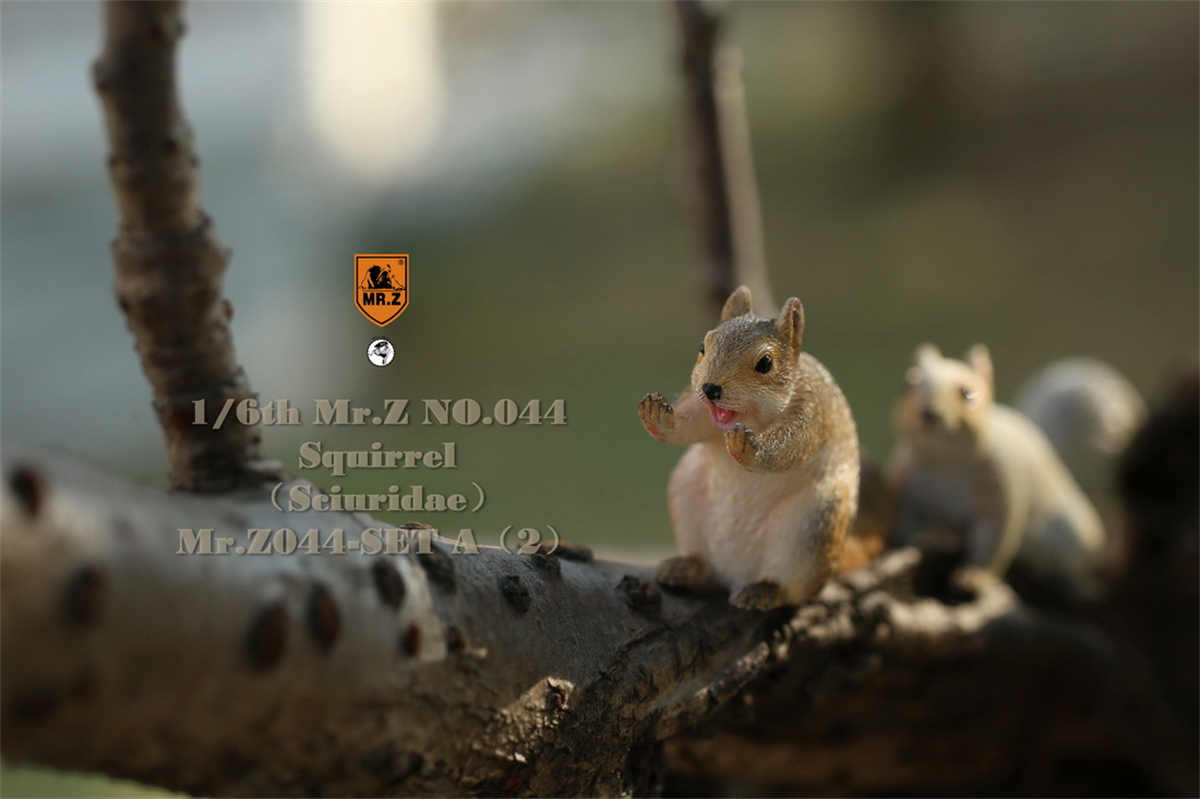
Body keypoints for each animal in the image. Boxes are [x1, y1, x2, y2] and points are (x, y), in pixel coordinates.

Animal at [637, 286, 861, 610]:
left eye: (765, 363)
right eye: (702, 347)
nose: (710, 389)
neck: (749, 417)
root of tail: (736, 573)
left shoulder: (812, 412)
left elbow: (790, 446)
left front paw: (748, 448)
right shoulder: (701, 411)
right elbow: (686, 428)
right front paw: (656, 414)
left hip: (811, 528)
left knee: (793, 588)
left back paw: (764, 590)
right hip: (685, 492)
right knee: (705, 567)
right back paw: (686, 567)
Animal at [889, 343, 1106, 603]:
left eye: (967, 393)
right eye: (906, 384)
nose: (928, 414)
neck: (944, 460)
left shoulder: (1001, 480)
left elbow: (994, 537)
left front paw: (974, 579)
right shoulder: (906, 487)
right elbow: (904, 523)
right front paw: (898, 549)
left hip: (1068, 537)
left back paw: (1082, 587)